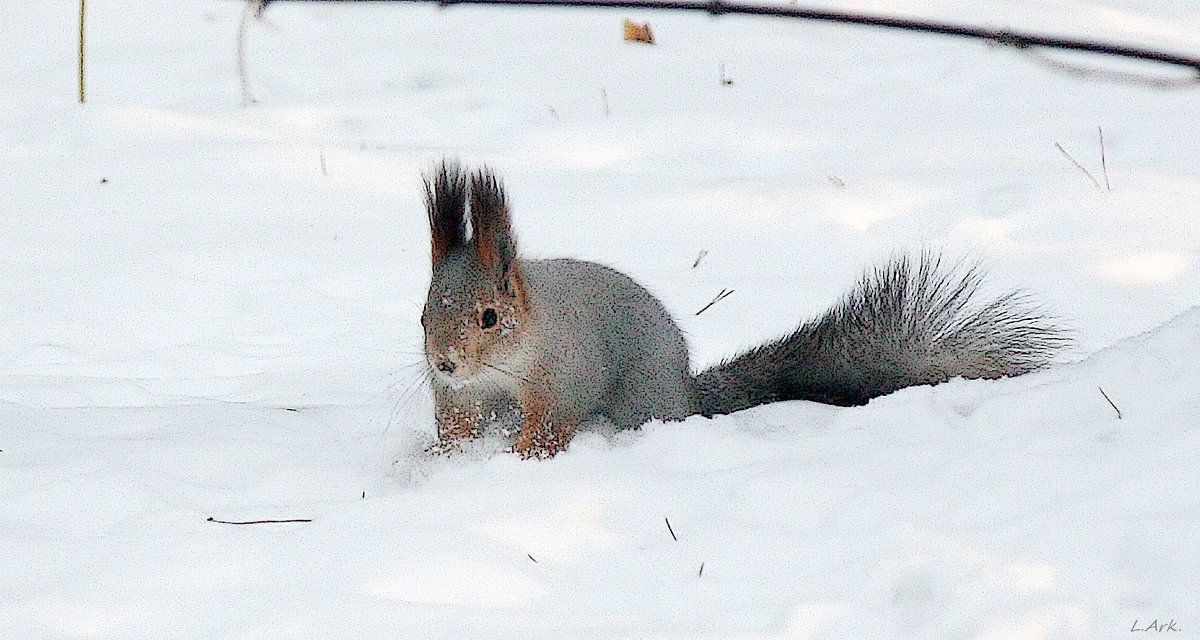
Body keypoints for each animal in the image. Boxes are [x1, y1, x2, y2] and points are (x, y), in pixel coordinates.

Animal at [422, 162, 1070, 456]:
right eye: (424, 312)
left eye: (489, 317)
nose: (443, 362)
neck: (503, 367)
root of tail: (685, 393)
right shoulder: (458, 399)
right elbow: (457, 426)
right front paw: (446, 457)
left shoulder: (564, 376)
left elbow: (551, 423)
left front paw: (522, 455)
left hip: (640, 404)